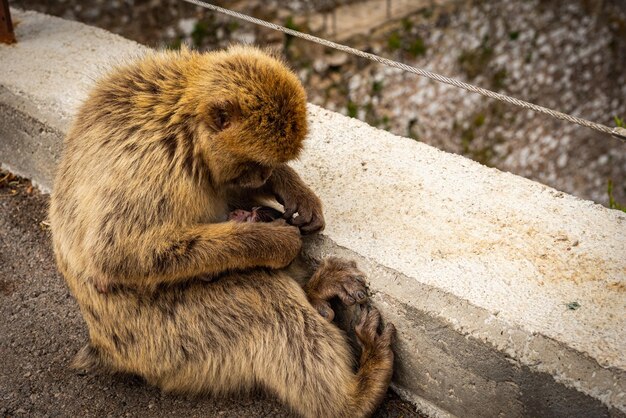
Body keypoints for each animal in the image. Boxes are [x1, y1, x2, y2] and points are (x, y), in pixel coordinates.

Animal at [48, 45, 392, 418]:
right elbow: (115, 258)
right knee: (264, 299)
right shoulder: (151, 163)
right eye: (254, 163)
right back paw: (355, 398)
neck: (184, 129)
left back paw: (317, 293)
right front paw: (273, 241)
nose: (263, 176)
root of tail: (104, 348)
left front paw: (291, 188)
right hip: (166, 342)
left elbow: (227, 191)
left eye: (266, 164)